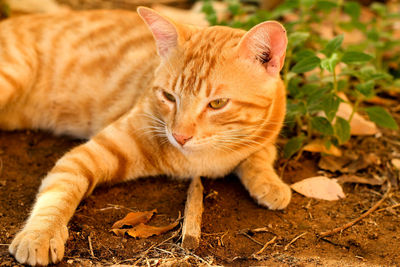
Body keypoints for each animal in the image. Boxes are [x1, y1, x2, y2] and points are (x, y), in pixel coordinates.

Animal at [4, 6, 292, 266]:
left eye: (217, 103)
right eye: (168, 97)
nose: (180, 136)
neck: (204, 158)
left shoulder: (267, 130)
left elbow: (261, 154)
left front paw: (270, 183)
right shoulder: (85, 156)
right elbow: (58, 193)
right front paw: (40, 235)